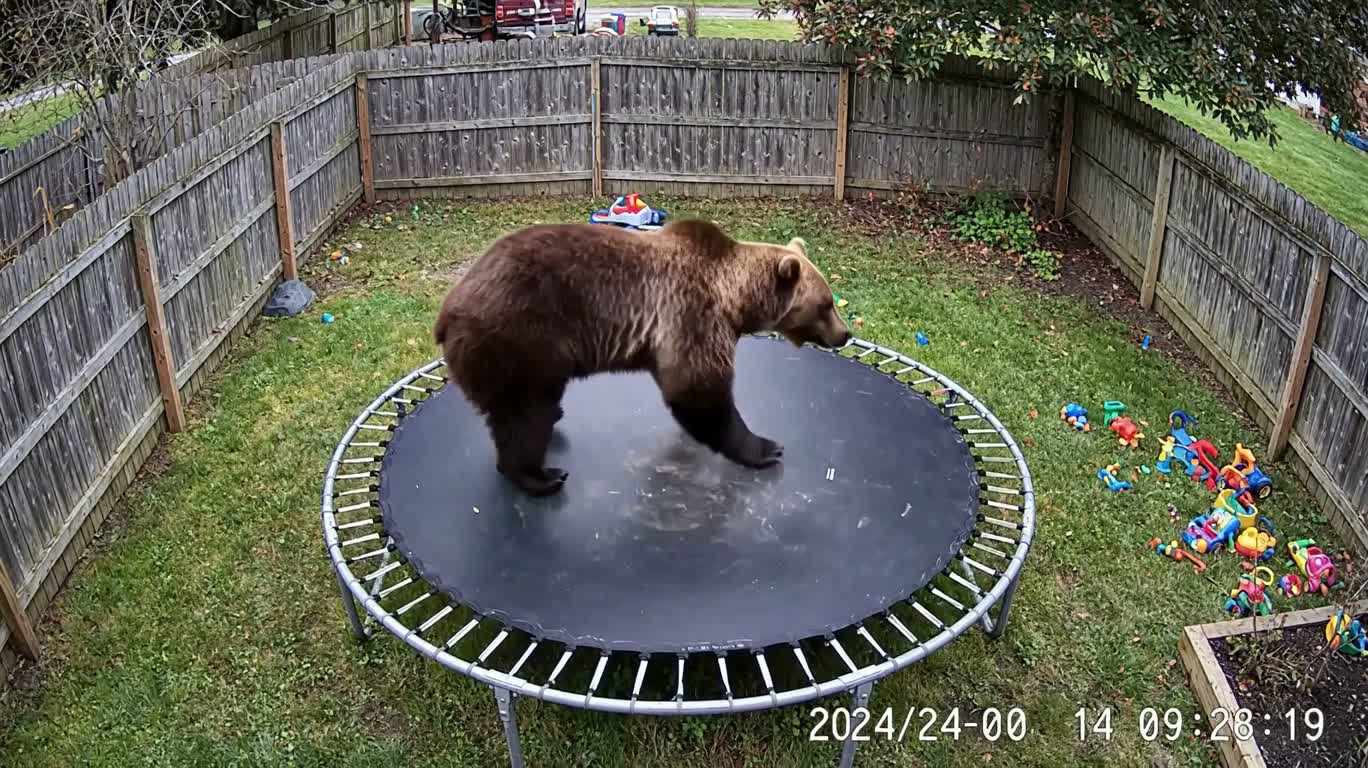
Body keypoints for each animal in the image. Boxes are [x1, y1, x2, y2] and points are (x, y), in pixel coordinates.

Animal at [433, 218, 851, 497]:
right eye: (825, 304)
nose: (845, 334)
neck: (736, 301)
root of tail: (448, 311)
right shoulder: (693, 312)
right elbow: (699, 390)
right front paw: (765, 447)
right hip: (521, 339)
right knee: (525, 414)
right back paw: (540, 475)